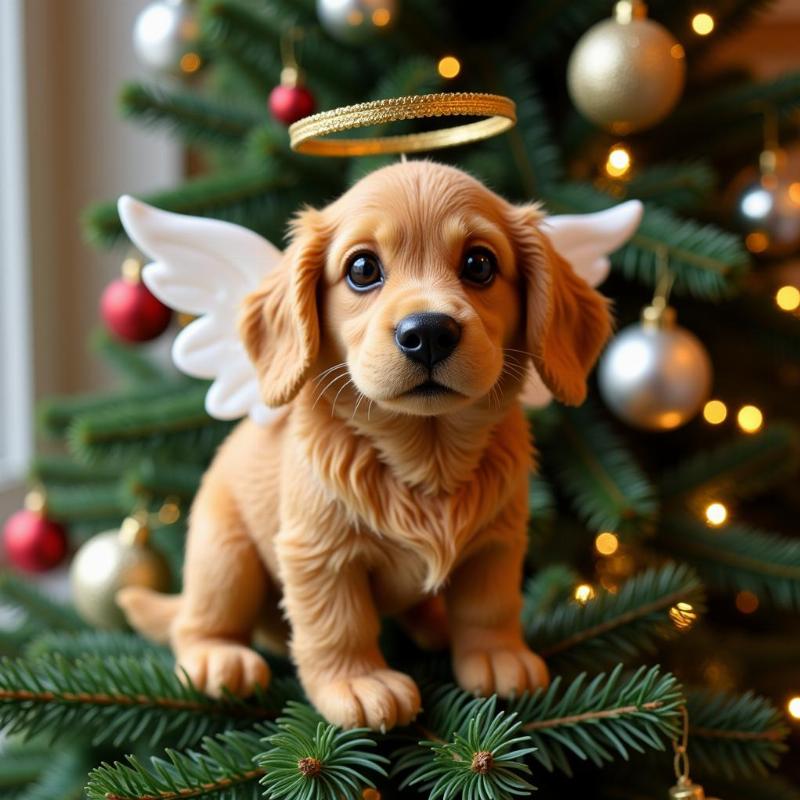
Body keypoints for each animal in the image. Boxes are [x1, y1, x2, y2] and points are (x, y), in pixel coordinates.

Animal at [115, 161, 608, 732]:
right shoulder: (319, 554)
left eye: (480, 264)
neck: (427, 455)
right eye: (363, 268)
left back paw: (435, 620)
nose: (429, 332)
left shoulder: (496, 543)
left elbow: (490, 605)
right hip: (224, 555)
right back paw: (218, 657)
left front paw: (495, 654)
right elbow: (339, 623)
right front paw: (357, 681)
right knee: (196, 622)